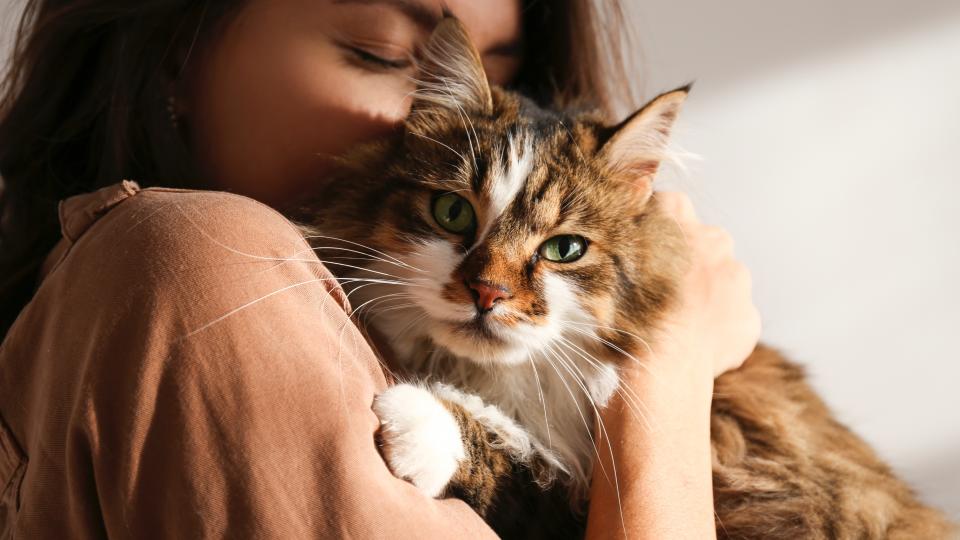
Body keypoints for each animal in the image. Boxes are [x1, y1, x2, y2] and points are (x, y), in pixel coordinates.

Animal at [296, 16, 956, 540]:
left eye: (564, 249)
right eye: (452, 213)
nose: (488, 293)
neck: (503, 383)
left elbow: (523, 465)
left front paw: (420, 422)